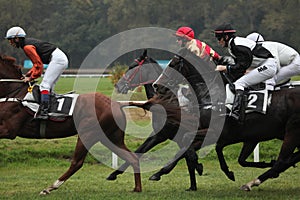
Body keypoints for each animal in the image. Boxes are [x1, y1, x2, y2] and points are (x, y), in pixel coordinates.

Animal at [0, 54, 142, 194]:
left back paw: (50, 187)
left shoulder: (9, 130)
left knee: (77, 162)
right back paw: (137, 188)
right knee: (132, 158)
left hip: (87, 134)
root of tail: (116, 104)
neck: (16, 93)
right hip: (110, 137)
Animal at [106, 50, 205, 191]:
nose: (118, 85)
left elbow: (185, 156)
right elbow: (139, 151)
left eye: (132, 67)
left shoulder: (163, 135)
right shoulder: (164, 135)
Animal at [149, 49, 300, 191]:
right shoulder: (235, 136)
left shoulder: (218, 132)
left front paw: (198, 166)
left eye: (173, 64)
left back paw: (253, 182)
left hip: (292, 131)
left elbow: (189, 141)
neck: (214, 96)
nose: (156, 85)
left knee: (282, 161)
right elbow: (205, 148)